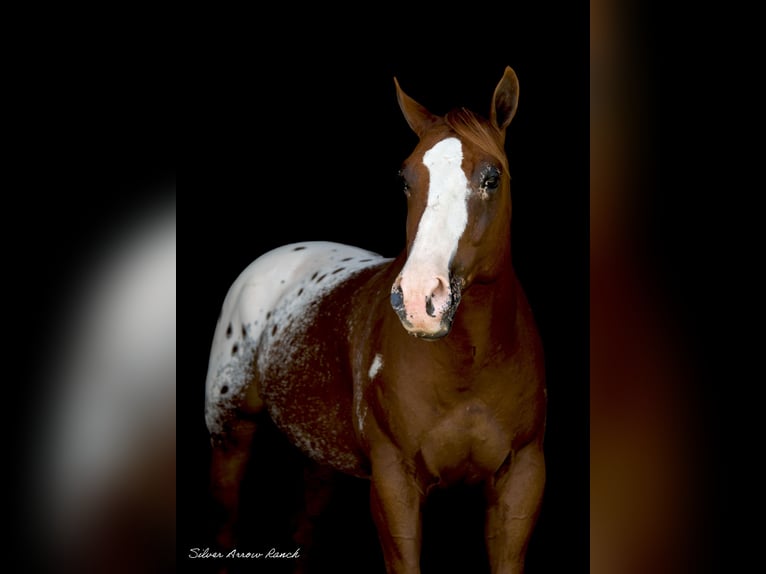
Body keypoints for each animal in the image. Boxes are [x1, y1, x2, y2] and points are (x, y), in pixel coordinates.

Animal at [207, 65, 548, 572]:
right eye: (405, 179)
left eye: (492, 177)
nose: (420, 297)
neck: (469, 364)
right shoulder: (394, 484)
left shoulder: (521, 481)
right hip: (230, 437)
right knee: (227, 528)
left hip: (318, 460)